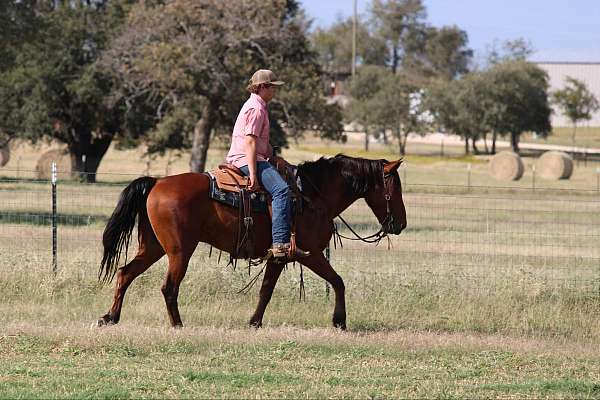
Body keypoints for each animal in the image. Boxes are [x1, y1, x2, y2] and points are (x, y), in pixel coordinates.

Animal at [97, 155, 408, 330]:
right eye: (395, 187)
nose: (401, 224)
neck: (312, 197)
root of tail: (157, 182)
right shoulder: (310, 254)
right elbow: (338, 281)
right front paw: (340, 321)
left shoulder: (279, 257)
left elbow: (266, 290)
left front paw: (254, 322)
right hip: (179, 250)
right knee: (169, 287)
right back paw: (177, 324)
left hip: (153, 247)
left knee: (125, 273)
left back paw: (110, 317)